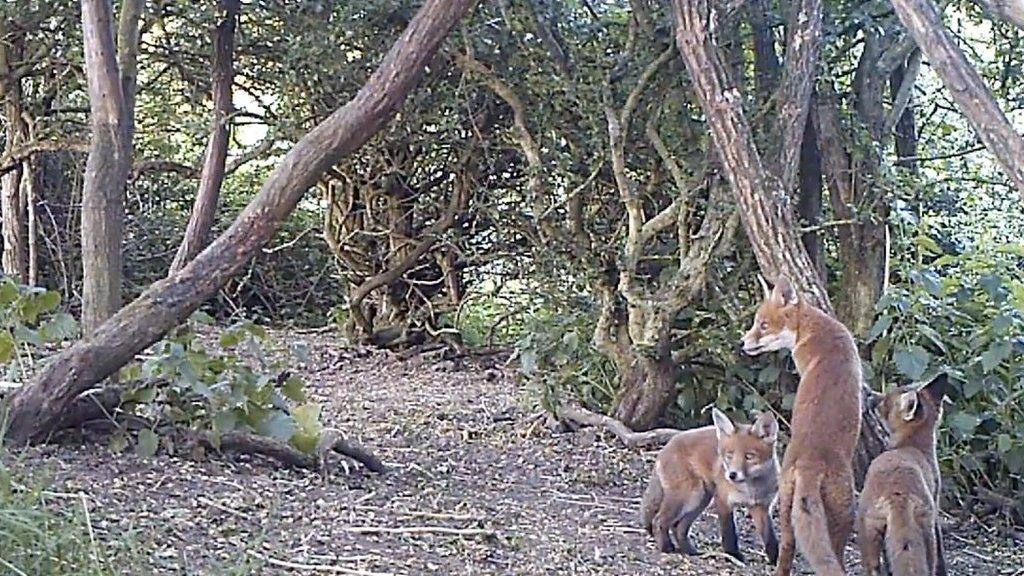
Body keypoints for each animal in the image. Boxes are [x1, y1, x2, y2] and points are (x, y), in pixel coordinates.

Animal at [634, 405, 778, 561]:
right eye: (729, 455)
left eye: (749, 456)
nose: (732, 475)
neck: (751, 489)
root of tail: (665, 448)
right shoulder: (723, 500)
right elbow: (729, 533)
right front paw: (733, 554)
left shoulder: (761, 507)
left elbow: (770, 538)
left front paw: (775, 559)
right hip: (688, 496)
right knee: (659, 520)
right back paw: (666, 548)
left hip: (700, 501)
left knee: (678, 527)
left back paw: (690, 551)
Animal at [741, 274, 860, 573]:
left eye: (763, 325)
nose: (742, 343)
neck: (811, 329)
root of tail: (809, 462)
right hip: (843, 515)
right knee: (835, 555)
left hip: (785, 508)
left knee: (786, 551)